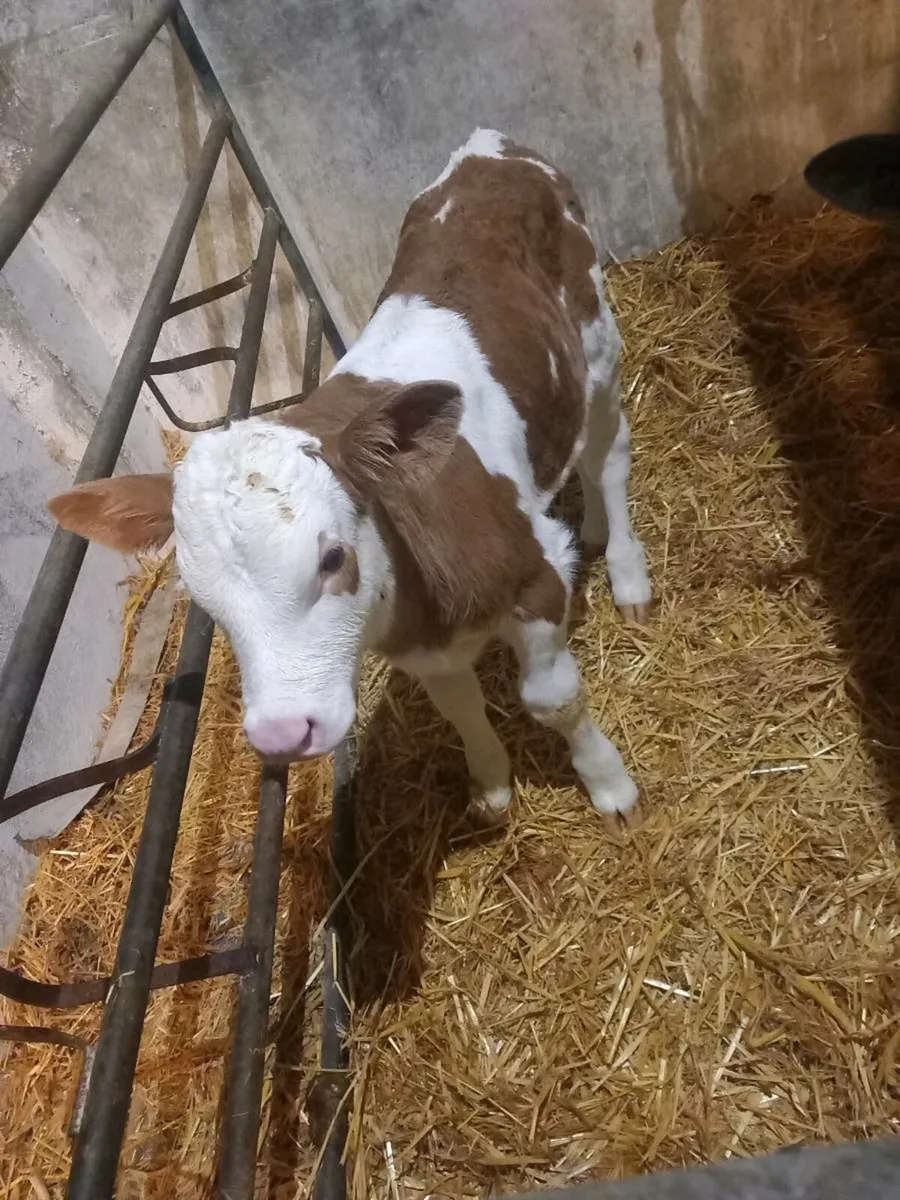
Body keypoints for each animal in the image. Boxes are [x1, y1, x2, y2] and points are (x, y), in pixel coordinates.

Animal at [48, 129, 651, 835]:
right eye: (203, 598)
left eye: (333, 557)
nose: (283, 734)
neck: (419, 597)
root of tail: (489, 147)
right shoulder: (422, 647)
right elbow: (459, 706)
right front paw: (491, 783)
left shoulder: (536, 577)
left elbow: (552, 700)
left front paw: (610, 788)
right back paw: (593, 530)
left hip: (597, 344)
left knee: (608, 454)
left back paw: (628, 572)